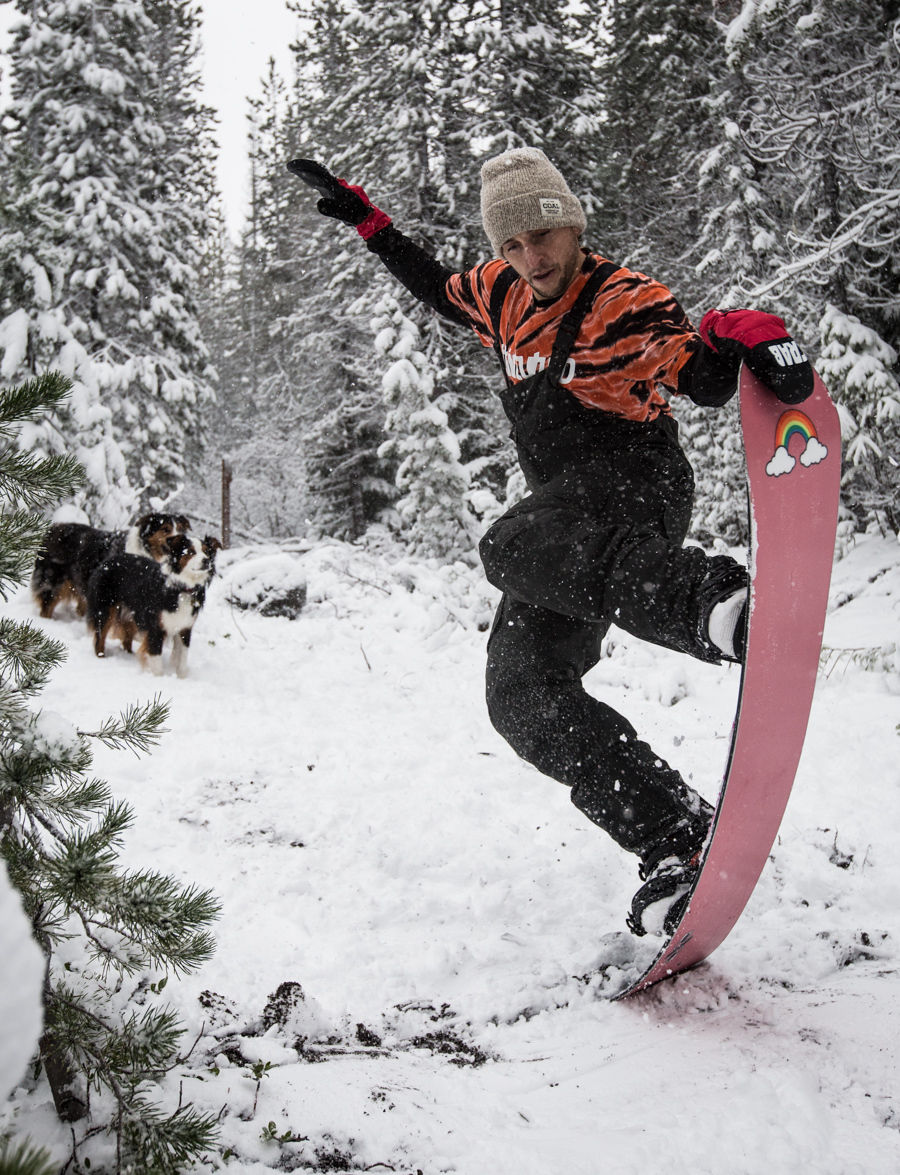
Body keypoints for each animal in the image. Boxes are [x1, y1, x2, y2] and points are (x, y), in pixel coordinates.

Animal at [32, 517, 192, 625]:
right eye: (165, 529)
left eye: (181, 529)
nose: (181, 540)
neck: (145, 551)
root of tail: (52, 529)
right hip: (54, 579)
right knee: (47, 603)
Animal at [86, 535, 222, 681]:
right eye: (190, 552)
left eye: (207, 551)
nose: (206, 560)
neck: (182, 589)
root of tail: (106, 562)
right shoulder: (156, 627)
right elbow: (156, 657)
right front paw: (159, 678)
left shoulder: (185, 627)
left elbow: (182, 658)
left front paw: (181, 678)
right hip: (105, 609)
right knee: (100, 638)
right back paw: (101, 657)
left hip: (131, 615)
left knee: (126, 638)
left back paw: (129, 655)